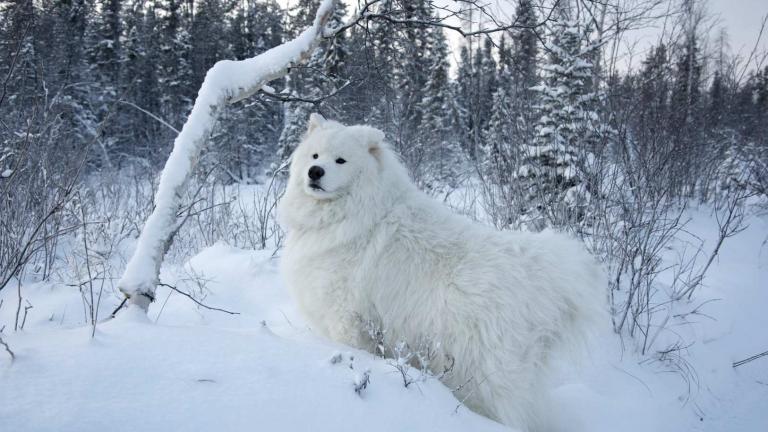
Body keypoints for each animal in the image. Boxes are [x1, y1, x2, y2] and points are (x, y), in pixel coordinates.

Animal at [278, 113, 608, 430]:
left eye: (340, 160)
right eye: (314, 155)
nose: (315, 172)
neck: (351, 212)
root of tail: (539, 270)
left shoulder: (346, 318)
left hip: (479, 368)